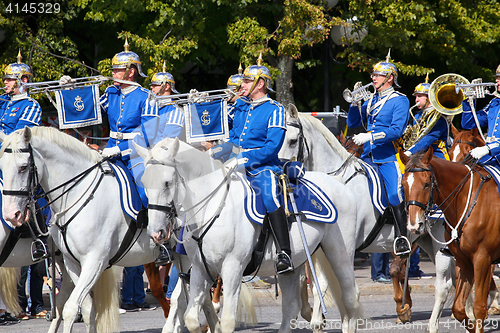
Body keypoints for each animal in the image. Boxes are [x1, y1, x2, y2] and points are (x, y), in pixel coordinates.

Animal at [136, 136, 364, 330]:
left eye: (167, 183)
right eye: (144, 182)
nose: (155, 232)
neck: (213, 207)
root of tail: (339, 184)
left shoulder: (232, 268)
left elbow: (227, 320)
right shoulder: (200, 269)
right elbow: (191, 318)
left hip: (339, 253)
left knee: (350, 299)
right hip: (296, 263)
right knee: (291, 306)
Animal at [280, 109, 456, 332]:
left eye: (293, 140)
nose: (278, 169)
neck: (337, 183)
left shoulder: (344, 248)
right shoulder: (320, 249)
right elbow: (318, 283)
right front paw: (317, 319)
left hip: (439, 242)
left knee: (444, 285)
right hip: (426, 241)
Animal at [400, 148, 500, 332]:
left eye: (426, 184)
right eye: (403, 185)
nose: (414, 225)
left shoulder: (482, 259)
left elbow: (479, 308)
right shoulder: (463, 261)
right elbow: (459, 308)